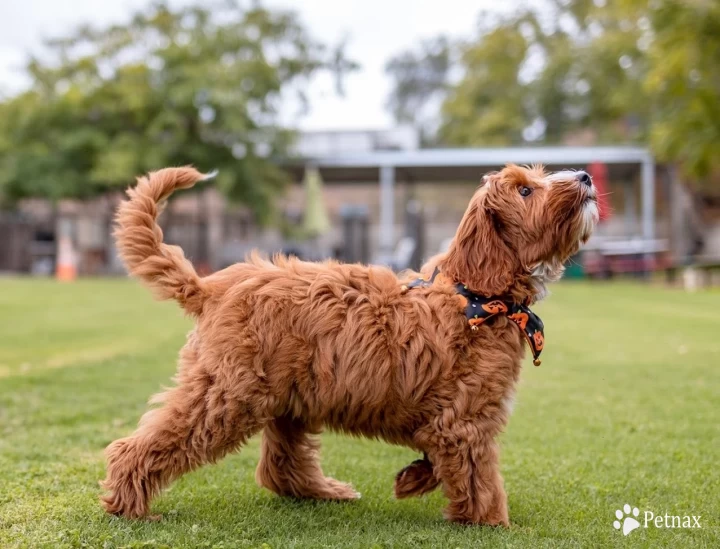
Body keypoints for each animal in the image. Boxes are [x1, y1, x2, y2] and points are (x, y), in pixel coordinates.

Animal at [100, 165, 596, 524]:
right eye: (525, 191)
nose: (585, 176)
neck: (476, 296)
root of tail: (211, 285)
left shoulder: (452, 419)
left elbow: (446, 459)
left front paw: (414, 479)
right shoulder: (467, 420)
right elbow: (481, 478)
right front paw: (492, 523)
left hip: (289, 394)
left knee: (281, 464)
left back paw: (325, 491)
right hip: (226, 393)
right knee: (147, 444)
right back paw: (129, 505)